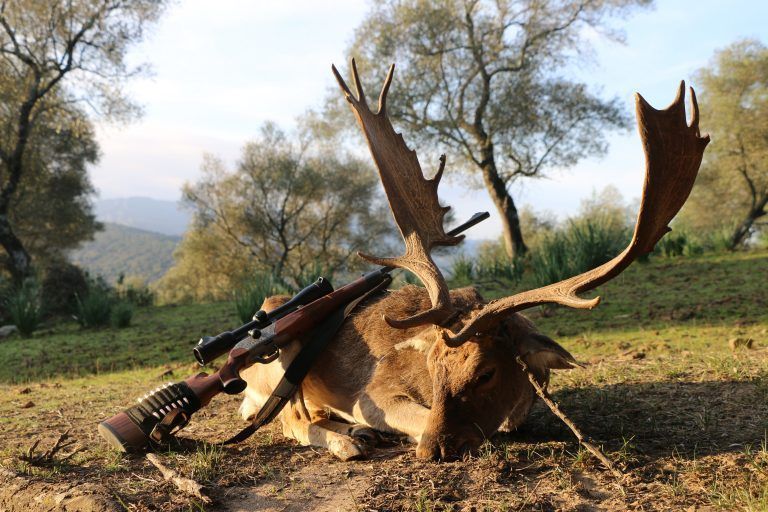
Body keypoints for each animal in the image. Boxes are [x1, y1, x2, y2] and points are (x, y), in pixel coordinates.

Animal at [238, 59, 709, 461]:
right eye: (433, 368)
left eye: (486, 374)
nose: (432, 450)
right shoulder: (372, 390)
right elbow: (404, 413)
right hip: (279, 360)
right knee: (290, 421)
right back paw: (348, 441)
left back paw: (355, 433)